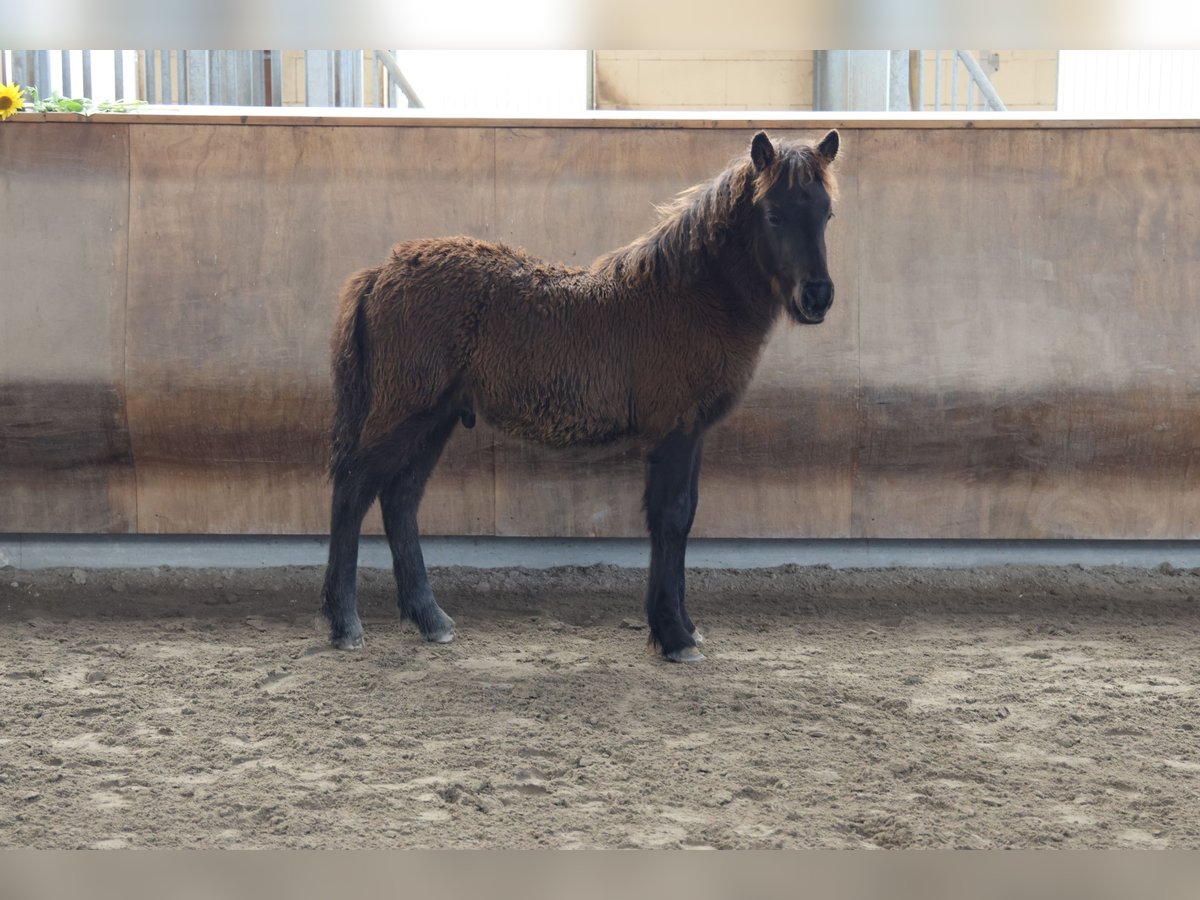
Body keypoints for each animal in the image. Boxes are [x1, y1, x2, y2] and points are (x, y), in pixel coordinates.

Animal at [324, 128, 840, 662]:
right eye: (773, 213)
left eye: (826, 213)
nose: (817, 297)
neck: (686, 297)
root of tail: (380, 272)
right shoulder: (675, 429)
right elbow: (671, 517)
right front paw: (674, 636)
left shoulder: (692, 432)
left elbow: (684, 514)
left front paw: (685, 627)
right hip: (403, 413)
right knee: (353, 489)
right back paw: (345, 624)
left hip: (435, 420)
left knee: (400, 500)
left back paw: (430, 619)